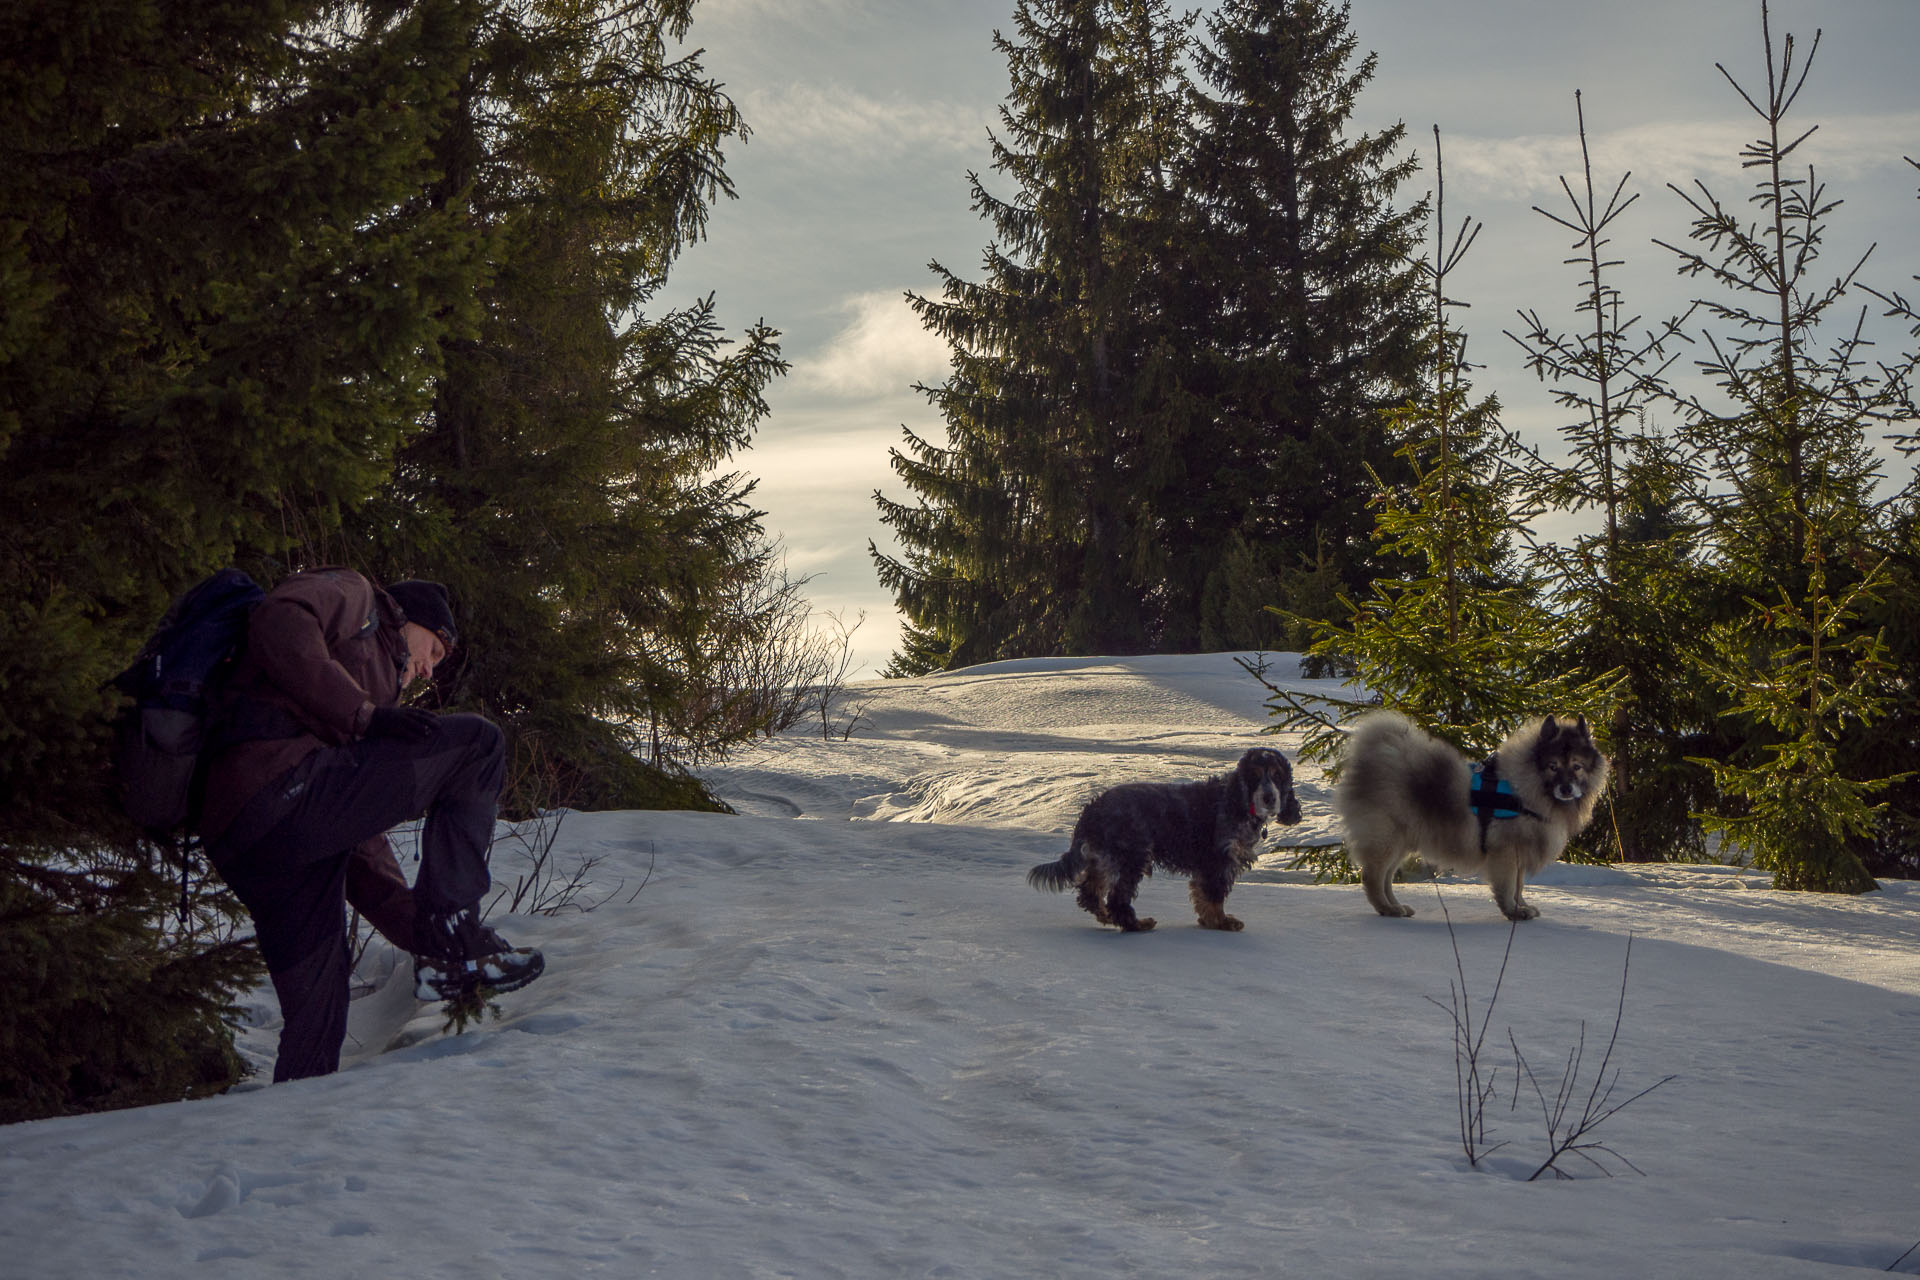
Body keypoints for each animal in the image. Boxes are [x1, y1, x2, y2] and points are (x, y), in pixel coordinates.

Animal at [1336, 710, 1605, 921]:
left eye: (1577, 766)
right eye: (1553, 766)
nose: (1566, 789)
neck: (1526, 788)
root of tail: (1376, 753)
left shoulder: (1519, 854)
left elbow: (1519, 887)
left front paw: (1522, 906)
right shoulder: (1507, 853)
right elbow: (1509, 887)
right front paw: (1513, 912)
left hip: (1401, 842)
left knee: (1386, 878)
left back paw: (1395, 906)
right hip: (1387, 839)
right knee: (1373, 877)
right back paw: (1386, 909)